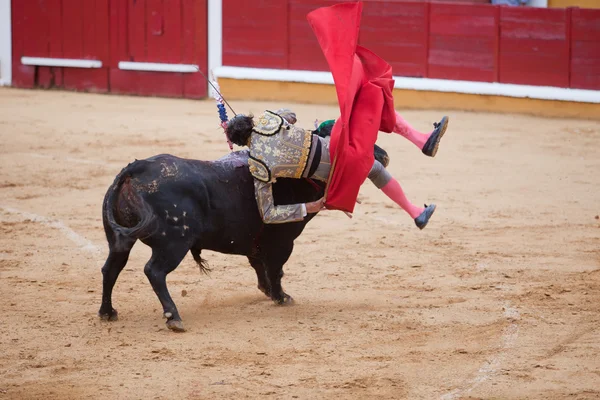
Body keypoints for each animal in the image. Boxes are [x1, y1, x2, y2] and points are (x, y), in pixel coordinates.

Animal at [98, 144, 390, 332]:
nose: (383, 155)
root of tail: (137, 168)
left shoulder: (255, 243)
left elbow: (259, 266)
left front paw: (268, 292)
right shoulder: (283, 242)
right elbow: (276, 270)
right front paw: (281, 297)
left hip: (119, 240)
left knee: (111, 268)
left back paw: (107, 312)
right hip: (174, 243)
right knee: (154, 271)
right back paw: (174, 317)